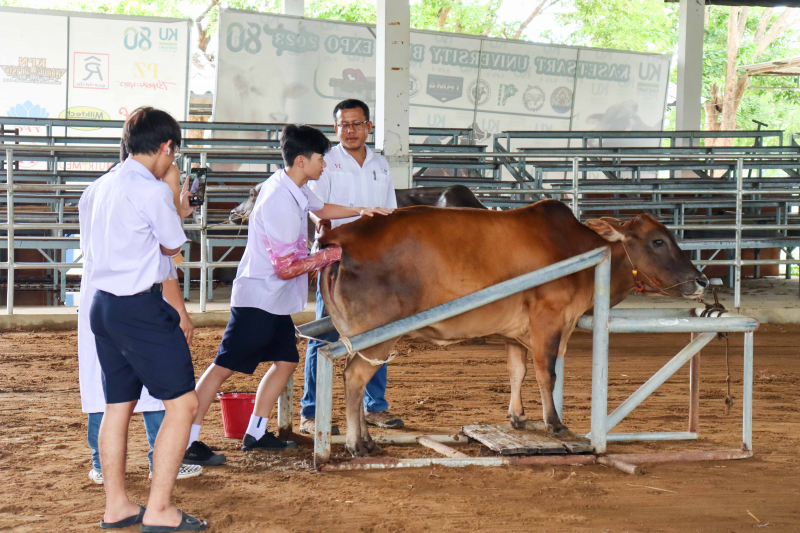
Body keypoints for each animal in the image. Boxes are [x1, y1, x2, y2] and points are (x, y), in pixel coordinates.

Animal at [318, 199, 709, 456]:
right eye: (657, 241)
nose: (701, 280)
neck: (579, 249)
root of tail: (340, 240)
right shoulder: (549, 321)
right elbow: (546, 373)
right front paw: (554, 423)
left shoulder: (516, 333)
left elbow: (517, 372)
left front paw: (518, 417)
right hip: (376, 336)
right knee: (354, 377)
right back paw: (356, 444)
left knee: (355, 377)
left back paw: (367, 441)